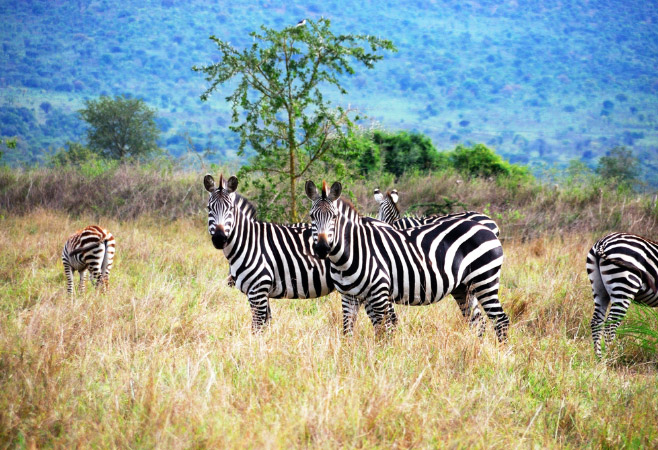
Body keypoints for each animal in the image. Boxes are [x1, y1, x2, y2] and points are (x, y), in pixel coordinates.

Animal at [203, 174, 395, 333]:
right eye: (209, 208)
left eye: (230, 209)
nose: (219, 238)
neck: (248, 243)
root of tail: (385, 224)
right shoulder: (263, 292)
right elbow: (266, 324)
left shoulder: (258, 289)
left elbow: (257, 327)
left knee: (389, 321)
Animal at [306, 180, 510, 341]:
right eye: (311, 216)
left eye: (334, 217)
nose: (322, 248)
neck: (349, 255)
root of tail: (488, 228)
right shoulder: (349, 296)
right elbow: (347, 332)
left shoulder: (379, 294)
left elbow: (383, 331)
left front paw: (381, 360)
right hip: (464, 287)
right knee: (478, 321)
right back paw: (476, 351)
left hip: (485, 279)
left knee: (501, 320)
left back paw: (502, 356)